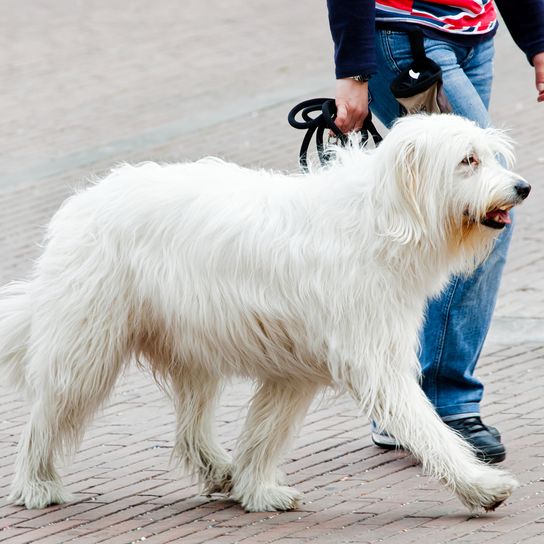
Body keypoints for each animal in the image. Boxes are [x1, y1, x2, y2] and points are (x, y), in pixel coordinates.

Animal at [0, 115, 528, 516]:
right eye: (467, 160)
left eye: (489, 154)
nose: (522, 187)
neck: (383, 219)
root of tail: (83, 202)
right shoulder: (375, 360)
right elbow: (428, 429)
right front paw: (481, 486)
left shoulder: (295, 370)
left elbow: (265, 432)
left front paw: (257, 489)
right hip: (87, 345)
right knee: (47, 413)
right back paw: (36, 485)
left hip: (191, 346)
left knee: (190, 431)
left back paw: (221, 472)